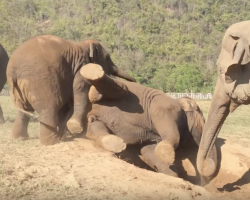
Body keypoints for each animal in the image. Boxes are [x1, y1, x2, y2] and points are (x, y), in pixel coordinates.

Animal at [7, 35, 136, 145]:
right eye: (108, 58)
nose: (134, 82)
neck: (83, 45)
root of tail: (12, 71)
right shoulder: (82, 67)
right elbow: (78, 90)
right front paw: (74, 128)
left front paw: (67, 131)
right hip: (40, 81)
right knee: (49, 108)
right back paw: (53, 142)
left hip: (22, 88)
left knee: (24, 110)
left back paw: (19, 138)